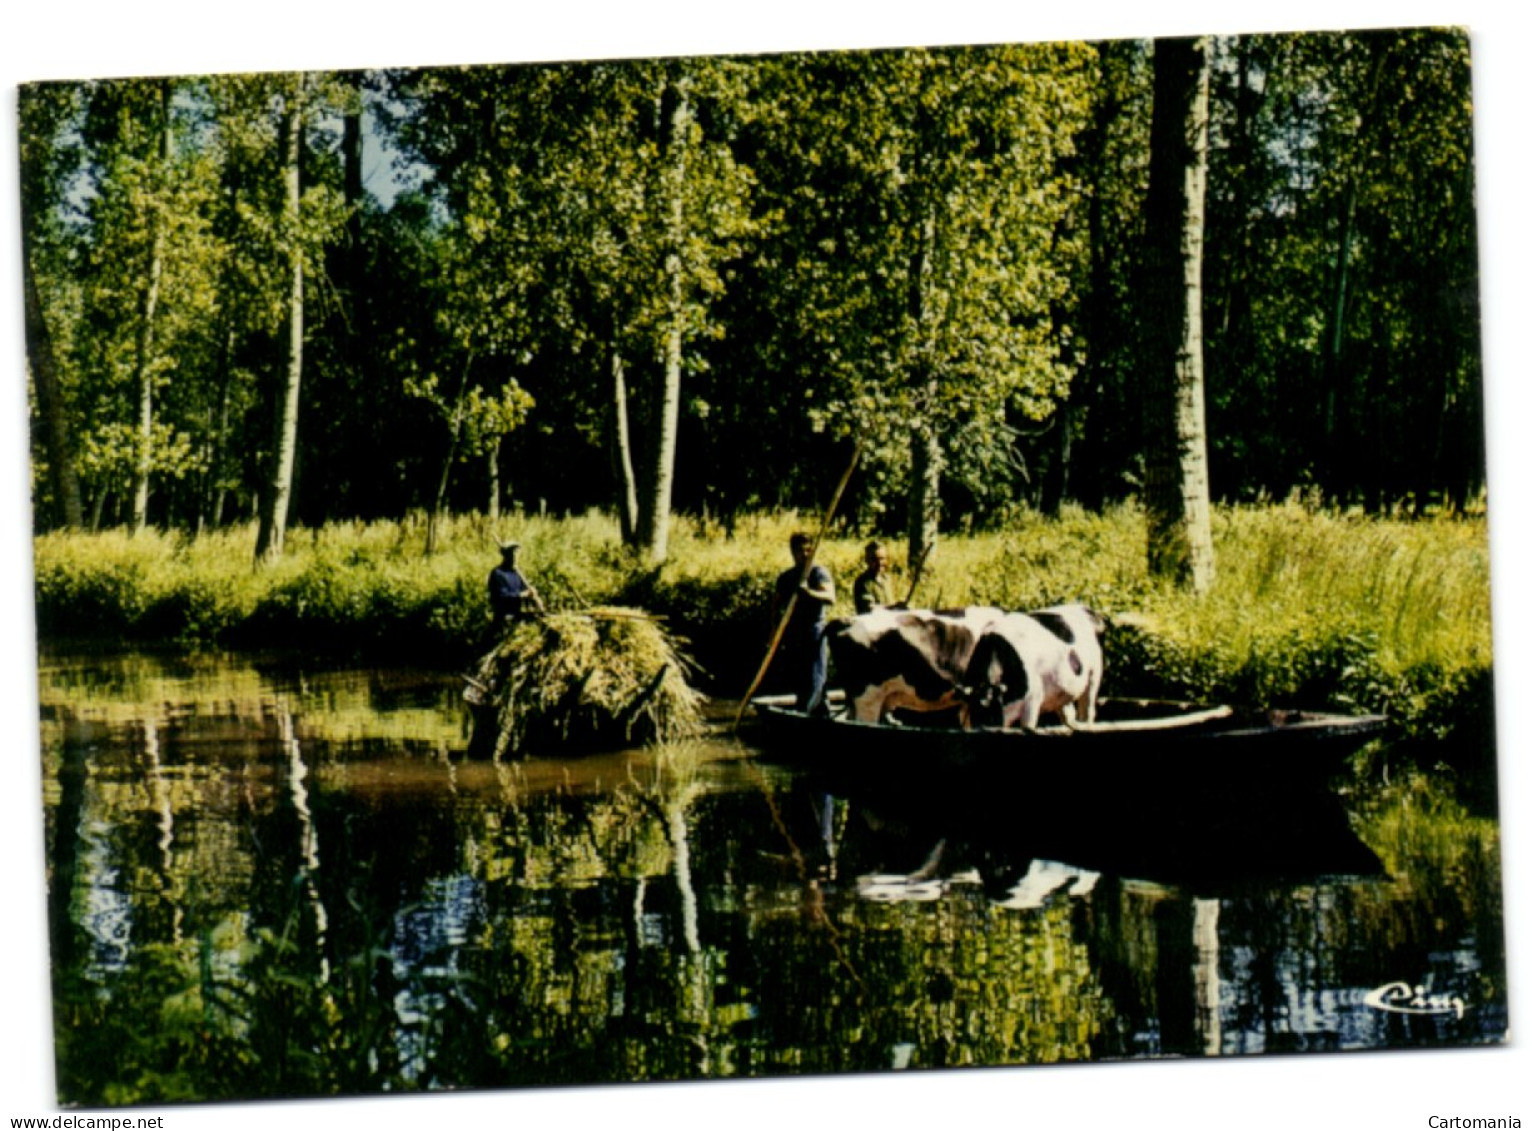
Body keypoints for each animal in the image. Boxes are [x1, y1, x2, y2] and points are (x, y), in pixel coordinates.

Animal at [955, 603, 1103, 726]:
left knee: (1088, 710)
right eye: (973, 713)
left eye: (992, 712)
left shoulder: (1033, 700)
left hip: (1094, 674)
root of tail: (1081, 608)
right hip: (1063, 690)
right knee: (1068, 715)